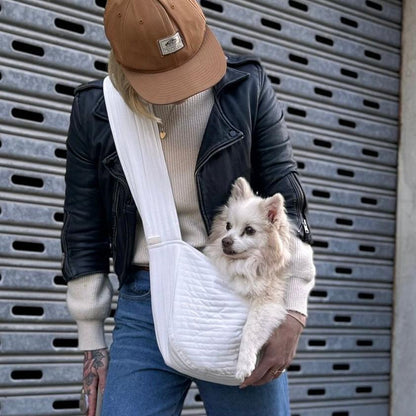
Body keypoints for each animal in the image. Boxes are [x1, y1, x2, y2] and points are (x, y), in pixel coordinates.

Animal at [203, 176, 290, 380]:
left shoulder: (268, 302)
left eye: (249, 230)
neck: (248, 263)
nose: (225, 241)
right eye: (228, 226)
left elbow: (250, 329)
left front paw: (244, 364)